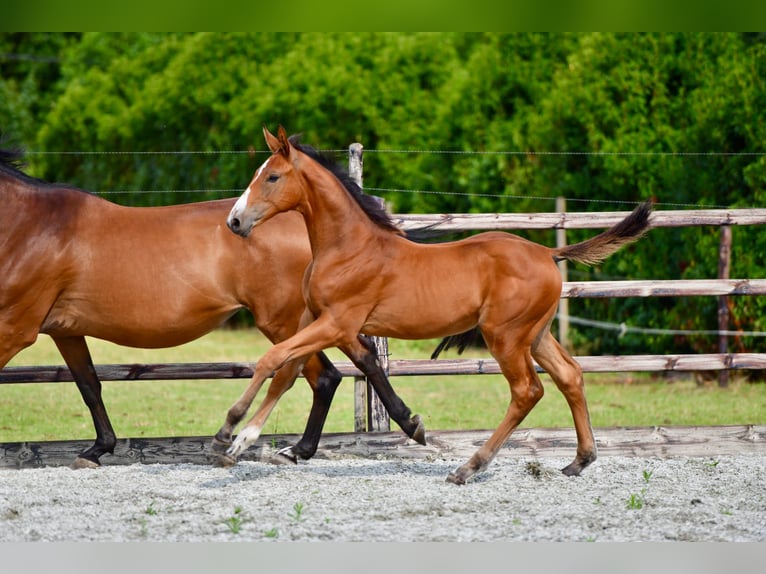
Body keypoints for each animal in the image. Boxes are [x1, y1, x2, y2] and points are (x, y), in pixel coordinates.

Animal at [0, 146, 424, 469]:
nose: (237, 221)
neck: (33, 226)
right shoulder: (64, 330)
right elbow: (89, 385)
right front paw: (96, 449)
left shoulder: (15, 329)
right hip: (315, 320)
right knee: (350, 363)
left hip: (286, 321)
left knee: (325, 373)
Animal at [223, 126, 653, 484]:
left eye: (272, 177)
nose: (235, 221)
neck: (349, 248)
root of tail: (548, 252)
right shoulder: (314, 319)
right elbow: (288, 369)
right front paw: (253, 440)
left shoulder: (338, 323)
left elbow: (272, 359)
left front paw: (232, 431)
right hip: (536, 335)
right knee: (570, 375)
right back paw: (579, 460)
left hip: (505, 336)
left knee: (527, 391)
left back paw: (469, 467)